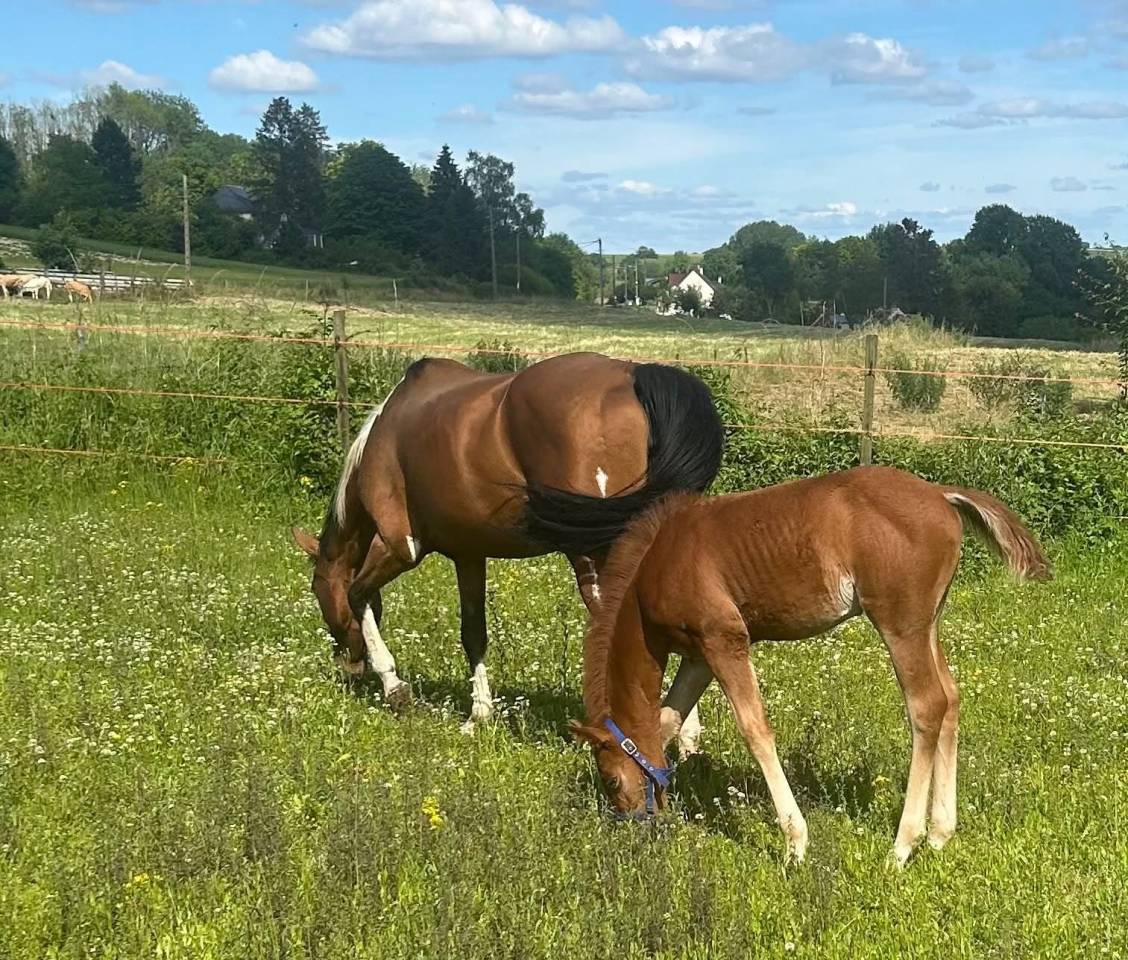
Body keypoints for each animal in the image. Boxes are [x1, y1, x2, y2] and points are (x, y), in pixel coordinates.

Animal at [292, 352, 724, 732]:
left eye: (316, 591)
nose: (348, 666)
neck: (385, 435)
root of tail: (632, 376)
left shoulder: (401, 547)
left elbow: (358, 593)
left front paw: (394, 686)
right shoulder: (468, 555)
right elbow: (473, 632)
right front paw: (479, 714)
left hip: (595, 555)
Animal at [564, 466, 1049, 866]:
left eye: (609, 780)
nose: (638, 828)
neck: (657, 566)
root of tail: (939, 493)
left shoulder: (724, 640)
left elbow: (755, 730)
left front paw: (795, 842)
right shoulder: (699, 655)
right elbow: (667, 720)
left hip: (900, 623)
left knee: (927, 705)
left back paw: (902, 845)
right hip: (929, 623)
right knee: (950, 698)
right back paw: (940, 834)